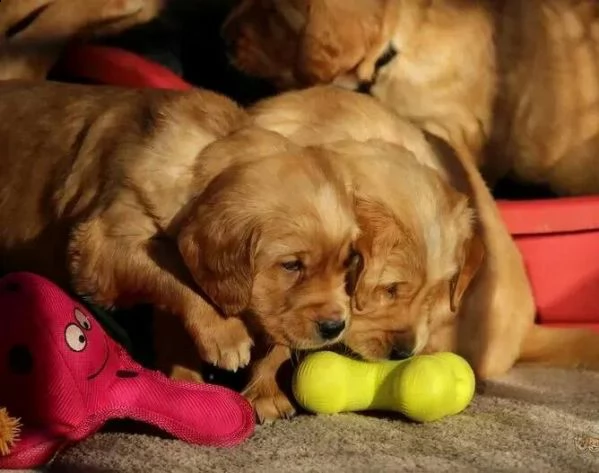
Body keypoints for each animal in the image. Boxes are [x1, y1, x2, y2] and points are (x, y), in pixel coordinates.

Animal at [0, 80, 356, 376]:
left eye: (345, 262)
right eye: (291, 265)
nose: (335, 327)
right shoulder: (100, 245)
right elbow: (176, 269)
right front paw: (226, 334)